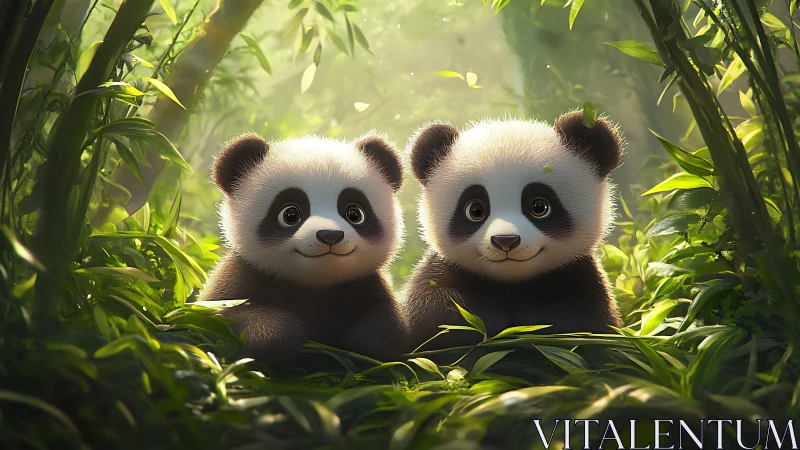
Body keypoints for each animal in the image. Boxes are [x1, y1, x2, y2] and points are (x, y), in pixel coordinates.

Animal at [200, 132, 408, 363]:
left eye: (354, 213)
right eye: (290, 214)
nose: (330, 235)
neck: (316, 283)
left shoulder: (364, 284)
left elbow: (386, 323)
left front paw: (364, 341)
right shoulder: (241, 276)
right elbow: (226, 314)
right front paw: (280, 335)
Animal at [403, 109, 623, 351]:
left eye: (539, 207)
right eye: (475, 210)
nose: (505, 240)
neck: (511, 283)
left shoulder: (580, 277)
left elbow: (579, 321)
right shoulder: (443, 272)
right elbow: (437, 311)